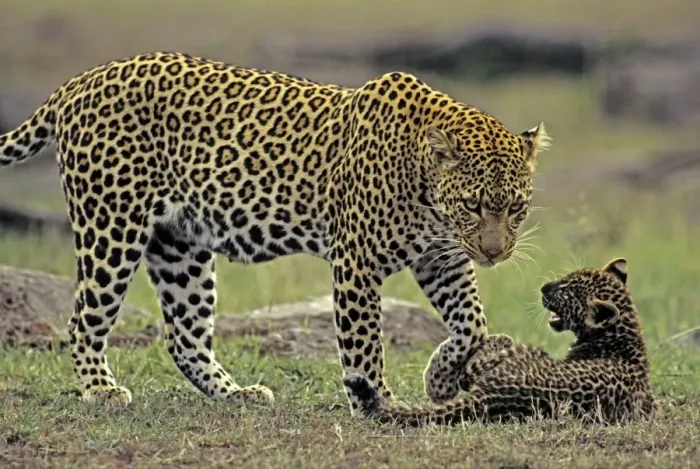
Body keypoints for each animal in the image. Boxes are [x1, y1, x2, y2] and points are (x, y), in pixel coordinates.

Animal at [0, 51, 550, 415]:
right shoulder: (356, 261)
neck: (427, 190)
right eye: (473, 205)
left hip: (180, 247)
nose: (495, 253)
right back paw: (100, 389)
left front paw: (439, 379)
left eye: (515, 208)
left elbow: (473, 323)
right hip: (111, 227)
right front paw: (378, 405)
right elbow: (365, 343)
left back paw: (236, 394)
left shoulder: (442, 258)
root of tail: (79, 80)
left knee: (183, 336)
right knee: (83, 320)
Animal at [345, 257, 657, 426]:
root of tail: (494, 395)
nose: (544, 287)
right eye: (565, 278)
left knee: (476, 366)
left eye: (567, 291)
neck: (624, 334)